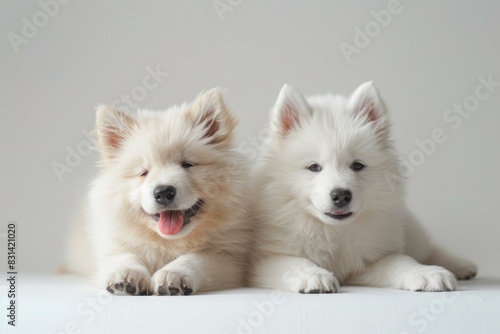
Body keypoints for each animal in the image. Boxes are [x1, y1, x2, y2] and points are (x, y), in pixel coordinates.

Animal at [64, 88, 252, 294]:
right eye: (143, 172)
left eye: (187, 164)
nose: (163, 192)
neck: (168, 242)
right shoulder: (111, 246)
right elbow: (125, 256)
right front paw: (126, 276)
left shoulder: (230, 259)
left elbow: (196, 258)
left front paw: (173, 275)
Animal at [250, 82, 476, 294]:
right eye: (314, 167)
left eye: (357, 165)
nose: (341, 195)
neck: (333, 231)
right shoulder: (264, 260)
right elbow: (294, 262)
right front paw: (314, 276)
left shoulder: (370, 258)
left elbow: (401, 260)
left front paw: (426, 273)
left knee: (427, 249)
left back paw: (462, 265)